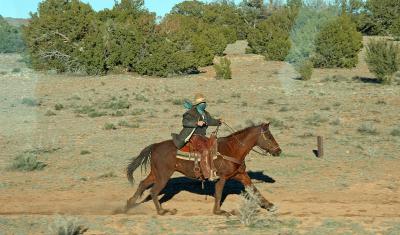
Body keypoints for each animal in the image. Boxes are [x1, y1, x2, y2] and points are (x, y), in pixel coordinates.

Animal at [125, 122, 282, 216]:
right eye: (269, 136)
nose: (278, 151)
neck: (232, 150)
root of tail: (155, 146)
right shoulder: (222, 177)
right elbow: (219, 193)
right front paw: (219, 211)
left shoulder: (240, 174)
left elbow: (254, 190)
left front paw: (270, 206)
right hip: (163, 175)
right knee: (153, 191)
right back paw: (162, 211)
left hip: (155, 173)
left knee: (142, 184)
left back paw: (128, 205)